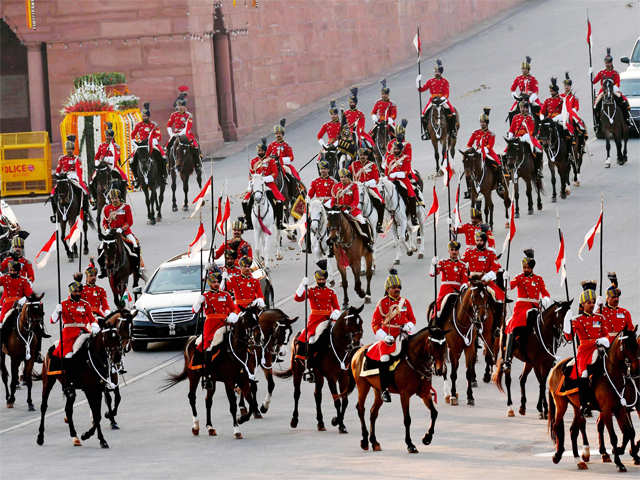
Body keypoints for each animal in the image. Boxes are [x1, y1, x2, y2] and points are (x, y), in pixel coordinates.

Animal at [162, 310, 262, 440]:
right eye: (248, 320)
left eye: (257, 318)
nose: (259, 338)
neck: (235, 351)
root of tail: (192, 339)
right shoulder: (229, 382)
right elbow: (233, 405)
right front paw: (236, 430)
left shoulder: (243, 380)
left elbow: (251, 402)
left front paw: (242, 418)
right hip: (194, 376)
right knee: (192, 397)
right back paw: (196, 426)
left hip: (212, 380)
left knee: (208, 401)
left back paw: (210, 427)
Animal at [276, 306, 364, 434]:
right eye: (350, 322)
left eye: (361, 322)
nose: (357, 343)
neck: (338, 347)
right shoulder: (331, 378)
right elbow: (337, 401)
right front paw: (339, 423)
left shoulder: (343, 377)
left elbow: (345, 401)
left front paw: (338, 422)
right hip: (298, 370)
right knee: (297, 394)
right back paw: (294, 420)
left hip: (318, 375)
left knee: (317, 395)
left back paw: (320, 423)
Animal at [350, 324, 450, 452]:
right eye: (433, 344)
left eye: (444, 344)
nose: (440, 370)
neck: (414, 361)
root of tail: (360, 350)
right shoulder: (405, 395)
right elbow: (407, 419)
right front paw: (410, 444)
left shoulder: (425, 393)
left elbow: (434, 413)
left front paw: (427, 438)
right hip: (362, 385)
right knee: (361, 409)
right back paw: (364, 441)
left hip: (378, 390)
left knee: (373, 413)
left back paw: (374, 442)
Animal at [544, 324, 640, 470]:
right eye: (625, 345)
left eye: (636, 345)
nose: (635, 369)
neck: (612, 374)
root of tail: (555, 367)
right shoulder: (607, 410)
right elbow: (614, 436)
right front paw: (619, 461)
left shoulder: (620, 408)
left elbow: (628, 432)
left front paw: (620, 452)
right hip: (561, 403)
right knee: (557, 425)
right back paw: (558, 455)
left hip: (577, 406)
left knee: (573, 430)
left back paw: (579, 460)